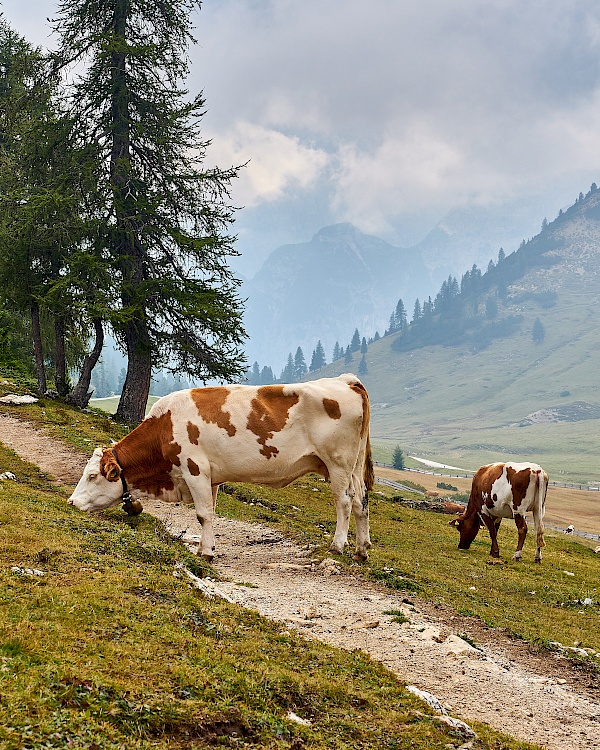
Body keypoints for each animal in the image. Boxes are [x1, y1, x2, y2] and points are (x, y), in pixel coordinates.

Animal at [68, 374, 372, 560]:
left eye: (92, 475)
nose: (71, 502)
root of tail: (346, 380)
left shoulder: (195, 469)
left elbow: (202, 514)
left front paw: (205, 553)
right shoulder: (211, 477)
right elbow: (210, 513)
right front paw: (208, 545)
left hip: (338, 463)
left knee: (345, 501)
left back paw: (338, 545)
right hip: (353, 466)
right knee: (361, 501)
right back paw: (362, 549)